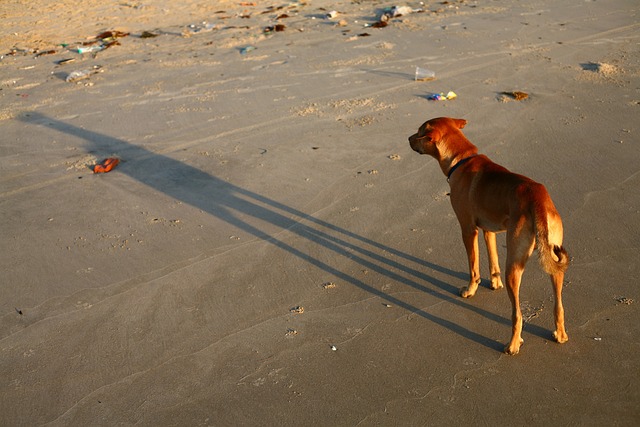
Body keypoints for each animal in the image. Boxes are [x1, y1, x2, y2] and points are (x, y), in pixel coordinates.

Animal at [408, 117, 568, 354]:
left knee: (517, 314)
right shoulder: (488, 230)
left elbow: (473, 267)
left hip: (514, 265)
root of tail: (538, 197)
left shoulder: (468, 229)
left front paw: (470, 289)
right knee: (559, 304)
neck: (461, 160)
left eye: (419, 133)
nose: (407, 138)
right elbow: (493, 261)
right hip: (553, 262)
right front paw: (494, 283)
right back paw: (560, 334)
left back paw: (513, 344)